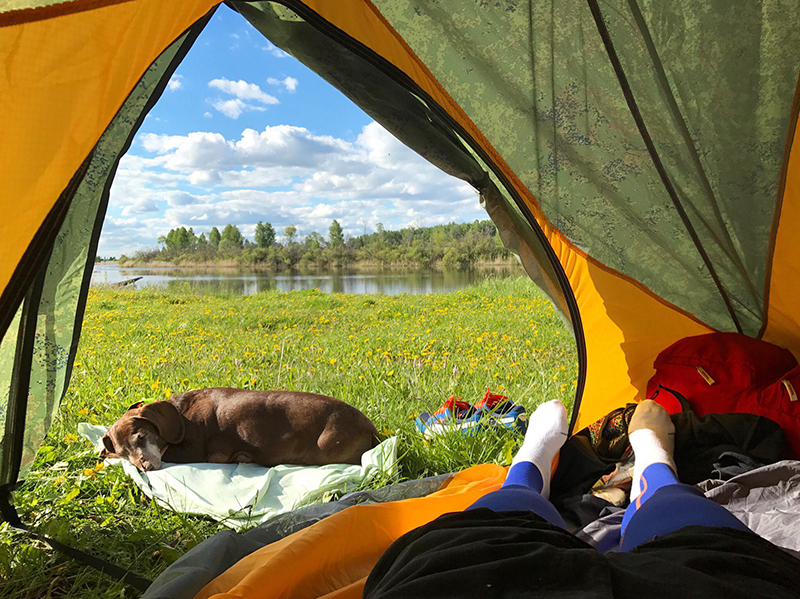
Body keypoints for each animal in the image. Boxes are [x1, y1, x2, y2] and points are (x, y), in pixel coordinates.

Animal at [100, 390, 382, 474]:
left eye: (142, 436)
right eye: (124, 453)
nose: (145, 467)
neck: (181, 414)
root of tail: (370, 427)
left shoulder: (194, 451)